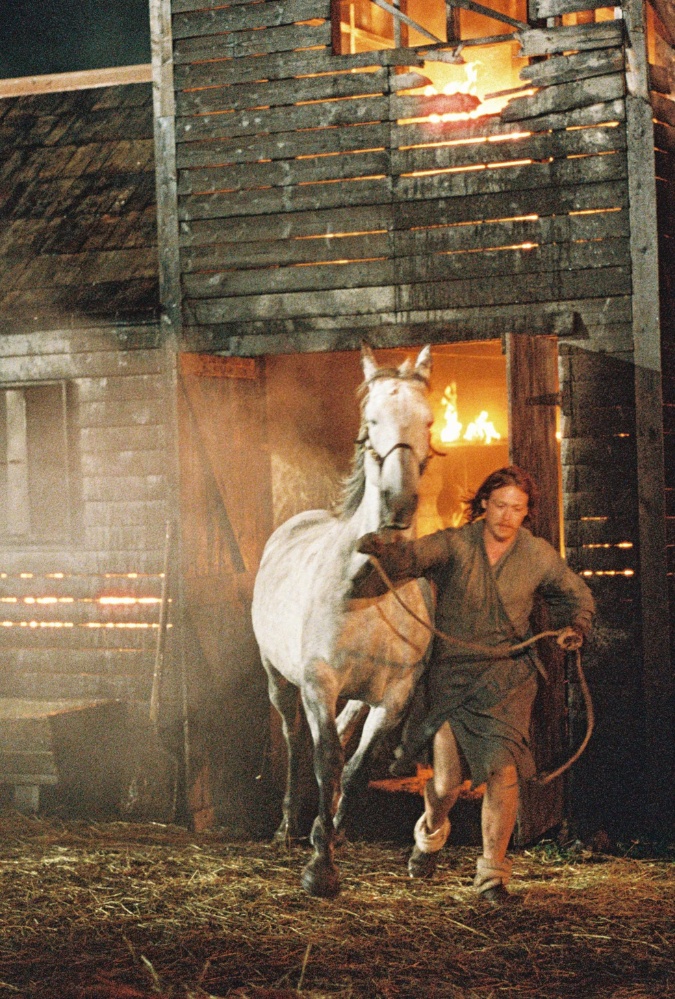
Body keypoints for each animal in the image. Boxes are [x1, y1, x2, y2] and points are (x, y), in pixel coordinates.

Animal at [252, 346, 434, 900]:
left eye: (428, 420)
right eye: (370, 421)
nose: (399, 502)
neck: (366, 587)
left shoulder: (393, 695)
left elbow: (354, 769)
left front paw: (332, 835)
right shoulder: (318, 682)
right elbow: (325, 761)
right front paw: (319, 869)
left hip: (356, 695)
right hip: (279, 679)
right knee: (296, 744)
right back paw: (289, 827)